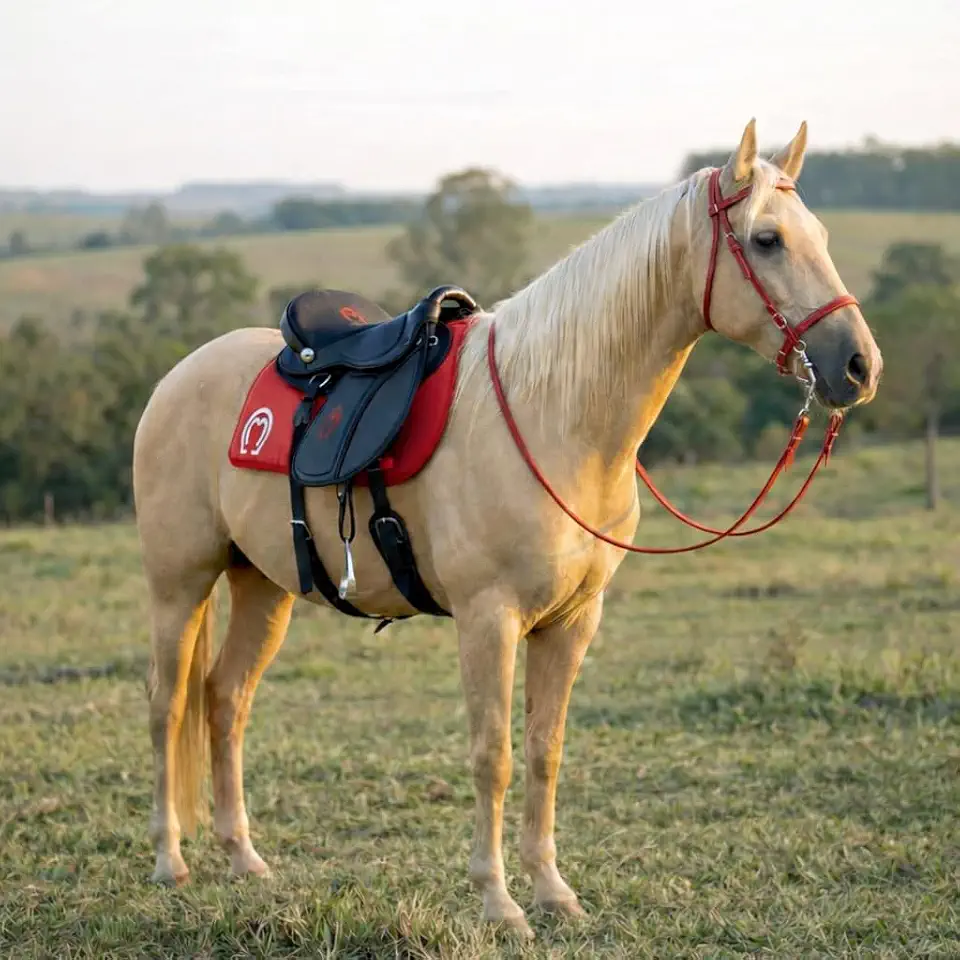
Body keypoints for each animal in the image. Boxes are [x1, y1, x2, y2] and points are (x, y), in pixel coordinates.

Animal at [133, 119, 882, 937]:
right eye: (768, 239)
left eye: (821, 234)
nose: (859, 365)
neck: (551, 412)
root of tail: (176, 377)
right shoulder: (488, 619)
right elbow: (491, 755)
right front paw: (499, 903)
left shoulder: (572, 621)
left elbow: (544, 751)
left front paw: (554, 891)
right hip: (179, 586)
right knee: (168, 704)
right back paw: (170, 861)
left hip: (263, 586)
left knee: (225, 699)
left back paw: (244, 858)